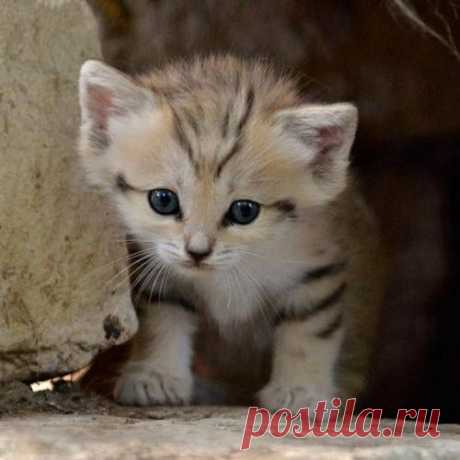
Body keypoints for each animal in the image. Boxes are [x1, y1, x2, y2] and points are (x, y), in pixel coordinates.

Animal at [78, 55, 384, 412]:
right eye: (163, 200)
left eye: (244, 211)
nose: (197, 251)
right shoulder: (154, 267)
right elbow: (162, 318)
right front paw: (156, 375)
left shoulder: (318, 270)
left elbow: (307, 330)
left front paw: (300, 391)